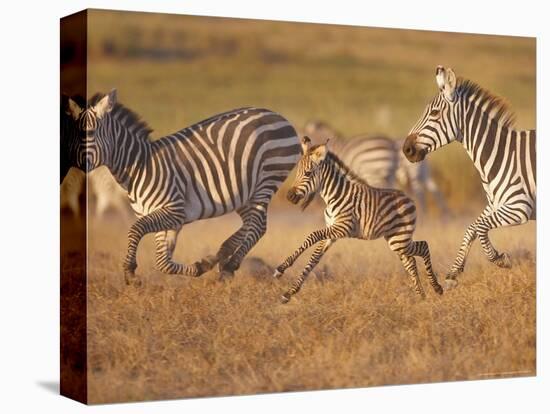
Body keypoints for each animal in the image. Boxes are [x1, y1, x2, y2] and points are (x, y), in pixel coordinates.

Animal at [63, 90, 302, 284]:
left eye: (89, 134)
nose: (69, 163)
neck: (140, 166)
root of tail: (277, 115)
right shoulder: (168, 221)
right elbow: (162, 262)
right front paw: (200, 267)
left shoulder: (174, 211)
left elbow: (136, 230)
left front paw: (129, 272)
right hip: (244, 192)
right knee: (253, 224)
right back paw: (221, 256)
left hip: (267, 179)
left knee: (257, 226)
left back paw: (229, 266)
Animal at [274, 137, 446, 302]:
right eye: (297, 173)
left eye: (308, 173)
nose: (289, 196)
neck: (335, 195)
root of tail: (408, 197)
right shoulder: (332, 232)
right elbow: (314, 259)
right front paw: (289, 292)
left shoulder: (343, 228)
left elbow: (312, 236)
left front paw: (281, 268)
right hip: (395, 240)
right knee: (411, 262)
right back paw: (421, 296)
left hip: (400, 239)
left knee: (423, 247)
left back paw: (436, 288)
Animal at [404, 66, 536, 286]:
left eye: (435, 113)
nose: (406, 150)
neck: (501, 154)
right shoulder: (496, 205)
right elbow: (471, 228)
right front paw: (453, 273)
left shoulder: (519, 208)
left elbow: (480, 227)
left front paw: (500, 259)